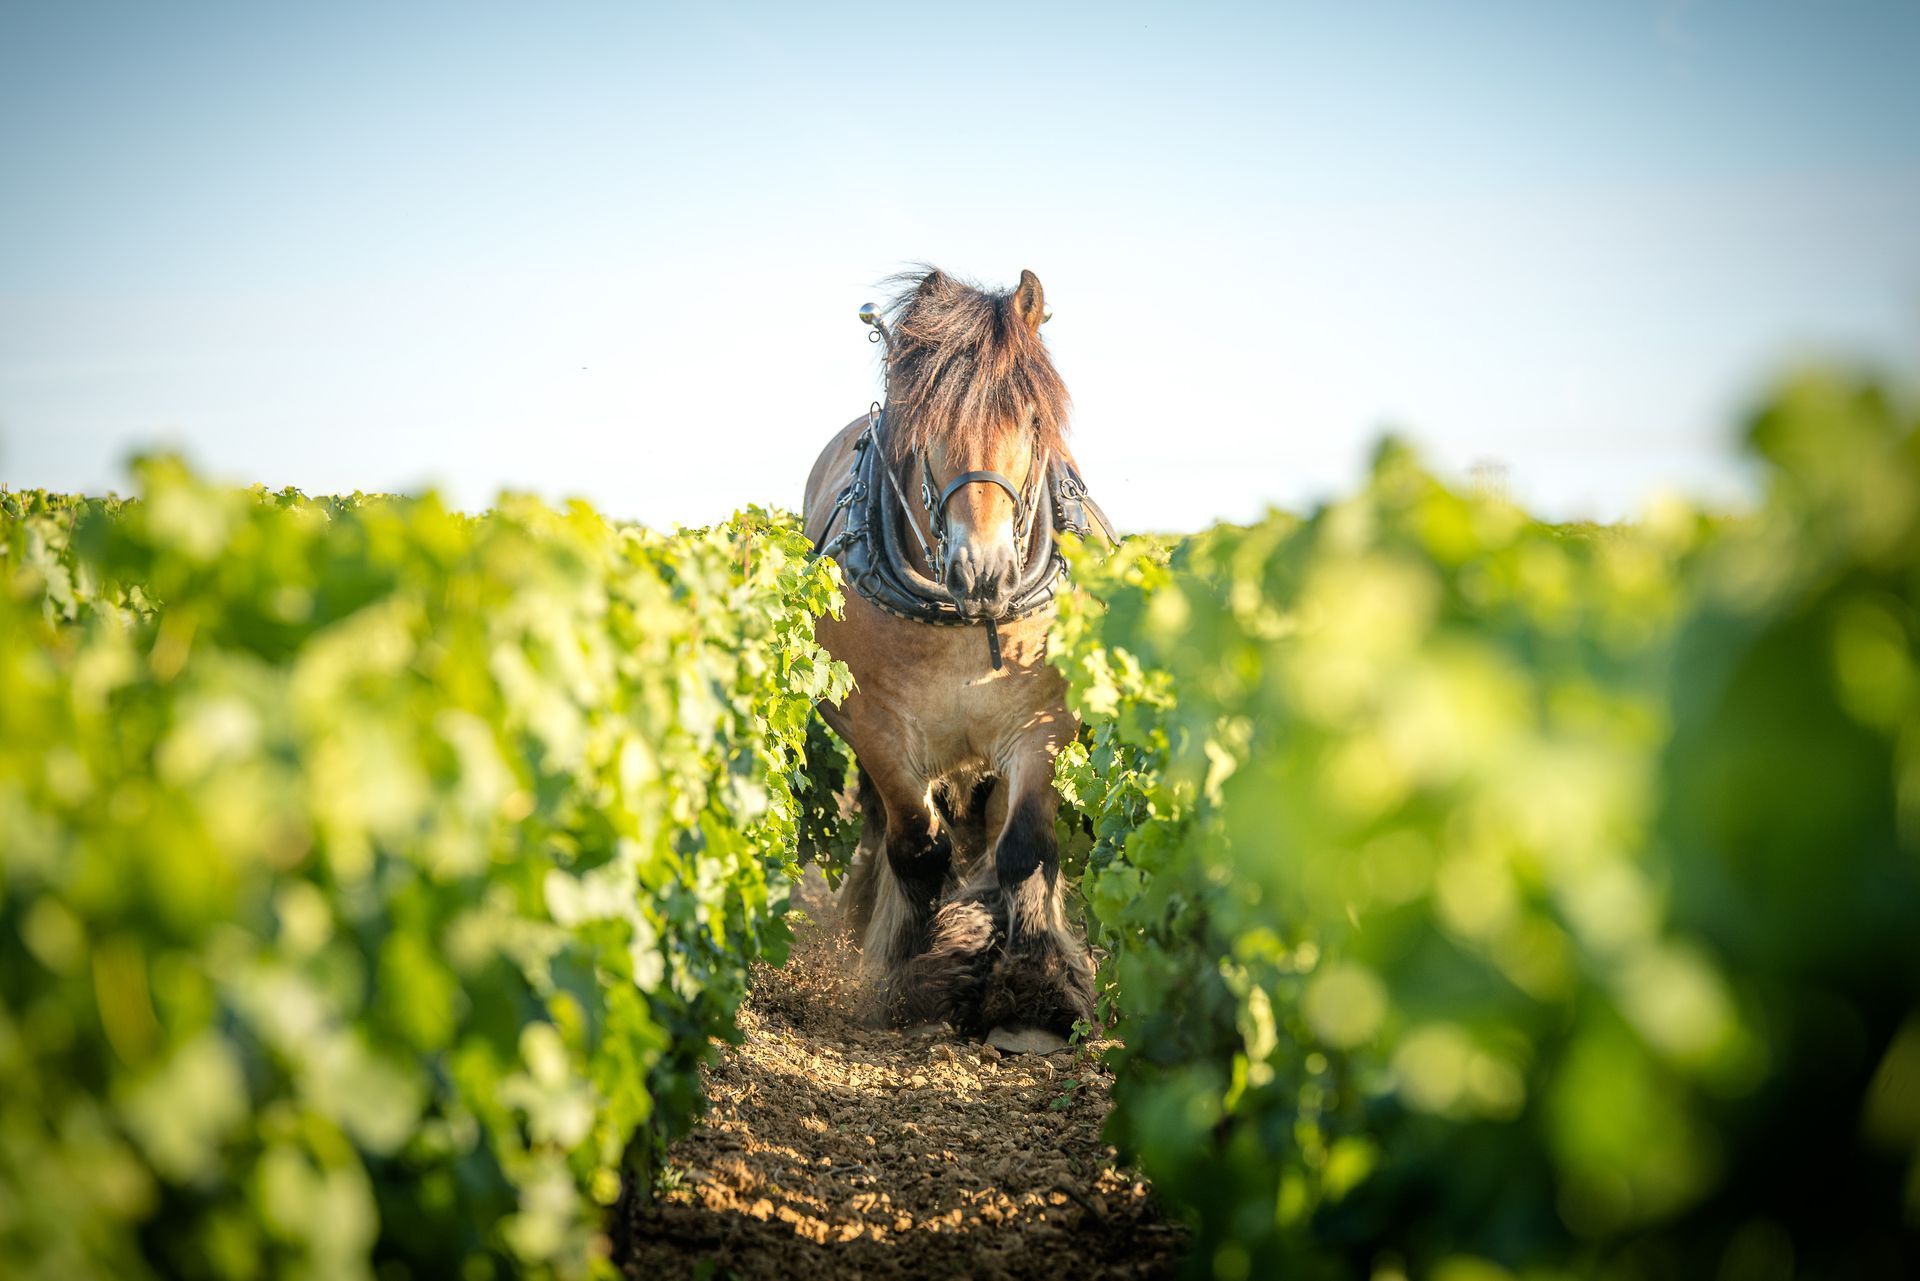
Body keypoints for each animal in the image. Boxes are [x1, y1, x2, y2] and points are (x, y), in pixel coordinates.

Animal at [802, 266, 1110, 1038]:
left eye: (1032, 421)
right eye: (930, 426)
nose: (984, 569)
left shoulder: (1044, 723)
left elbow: (1025, 844)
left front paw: (1033, 986)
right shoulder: (876, 726)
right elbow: (918, 844)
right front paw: (908, 974)